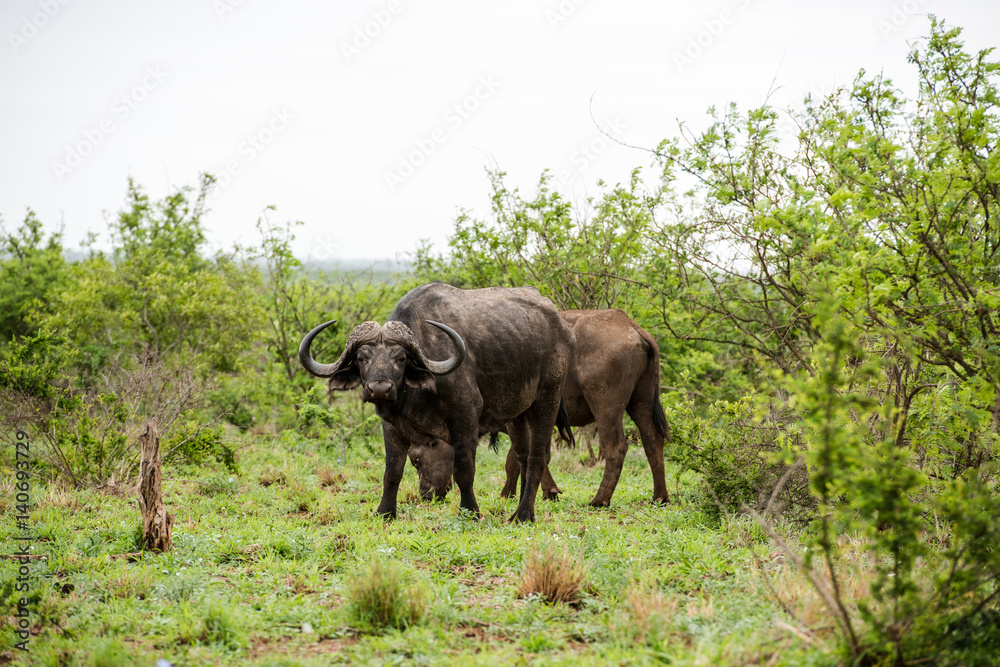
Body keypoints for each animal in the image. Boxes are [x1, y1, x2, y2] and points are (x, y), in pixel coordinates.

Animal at [298, 283, 574, 523]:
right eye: (362, 358)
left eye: (400, 358)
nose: (380, 389)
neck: (418, 395)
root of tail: (561, 326)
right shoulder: (391, 426)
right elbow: (392, 471)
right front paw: (385, 512)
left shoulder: (466, 419)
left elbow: (464, 470)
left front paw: (470, 511)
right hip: (516, 414)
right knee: (523, 456)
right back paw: (520, 509)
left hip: (547, 400)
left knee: (538, 457)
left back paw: (524, 515)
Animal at [408, 308, 669, 507]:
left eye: (416, 460)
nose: (425, 494)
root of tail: (632, 327)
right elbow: (525, 457)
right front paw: (526, 492)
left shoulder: (516, 421)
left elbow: (521, 458)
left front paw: (522, 493)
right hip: (641, 400)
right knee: (653, 441)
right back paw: (660, 497)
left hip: (606, 407)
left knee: (616, 447)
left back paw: (600, 499)